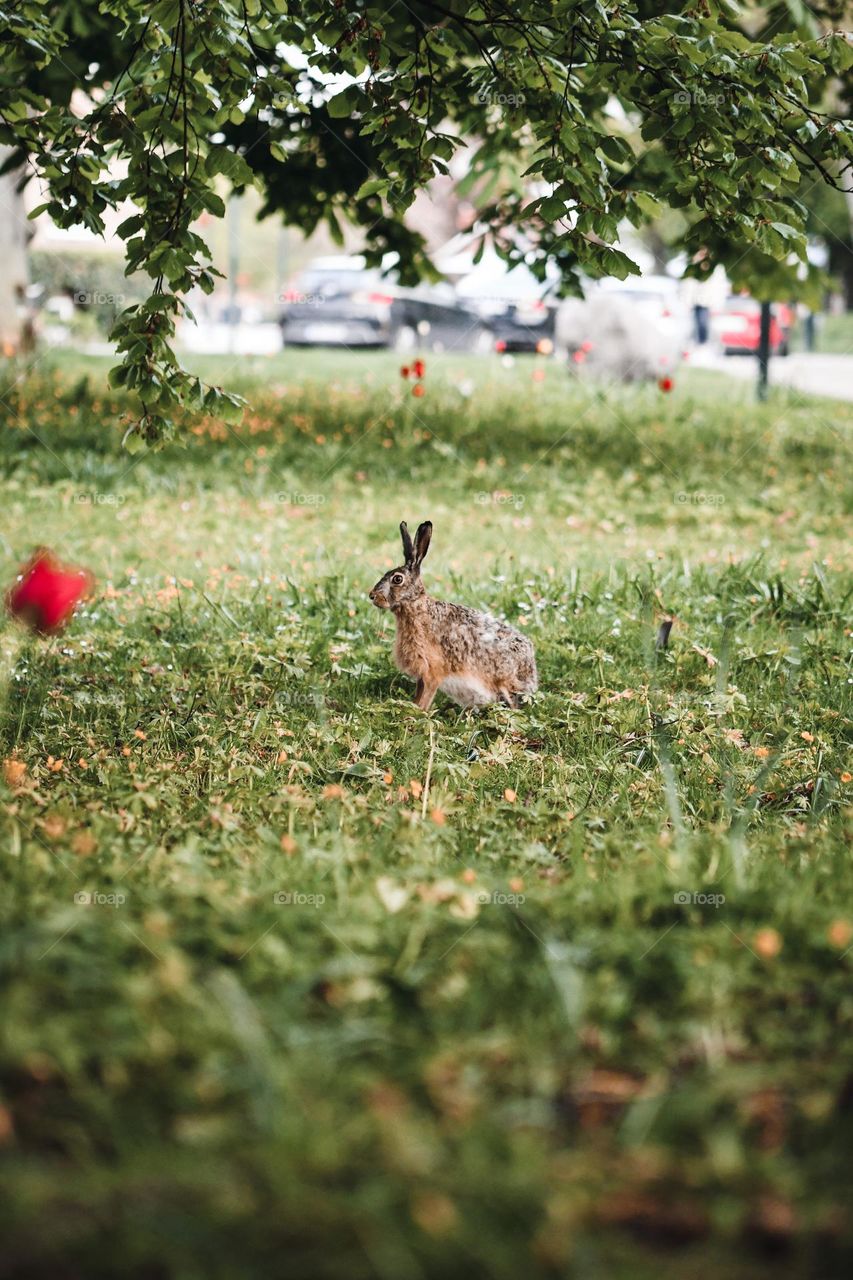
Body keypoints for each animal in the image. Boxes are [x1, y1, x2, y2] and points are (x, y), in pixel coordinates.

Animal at [369, 520, 538, 711]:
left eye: (397, 579)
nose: (372, 596)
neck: (416, 607)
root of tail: (530, 669)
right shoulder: (422, 675)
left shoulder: (432, 673)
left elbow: (425, 699)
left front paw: (417, 713)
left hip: (504, 681)